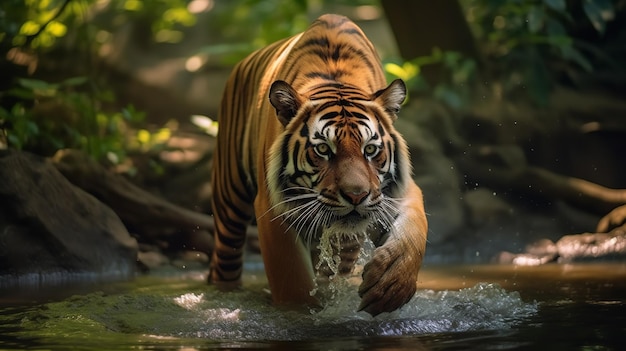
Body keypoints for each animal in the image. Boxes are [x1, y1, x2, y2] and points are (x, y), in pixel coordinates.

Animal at [207, 13, 426, 316]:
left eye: (370, 150)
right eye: (323, 149)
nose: (357, 196)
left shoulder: (396, 190)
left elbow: (414, 230)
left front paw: (392, 285)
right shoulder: (273, 207)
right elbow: (293, 283)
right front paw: (300, 313)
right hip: (230, 204)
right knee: (224, 264)